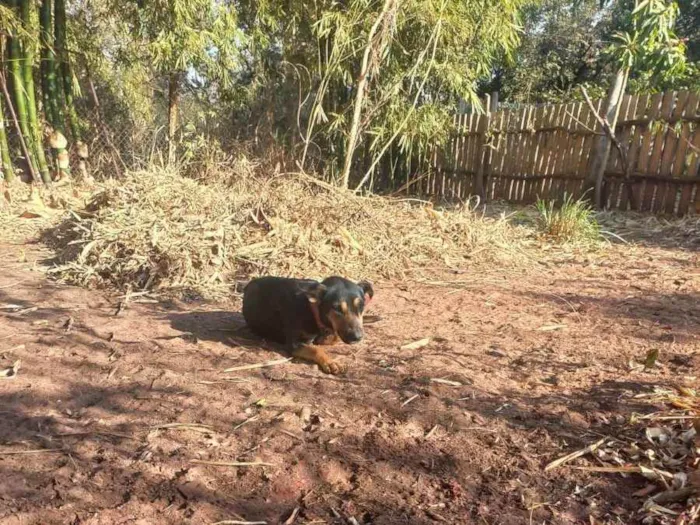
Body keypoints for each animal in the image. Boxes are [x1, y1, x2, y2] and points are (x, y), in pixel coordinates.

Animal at [242, 274, 374, 372]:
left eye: (361, 306)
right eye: (336, 308)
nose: (357, 337)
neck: (312, 308)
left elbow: (331, 337)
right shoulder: (294, 344)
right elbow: (315, 349)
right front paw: (330, 362)